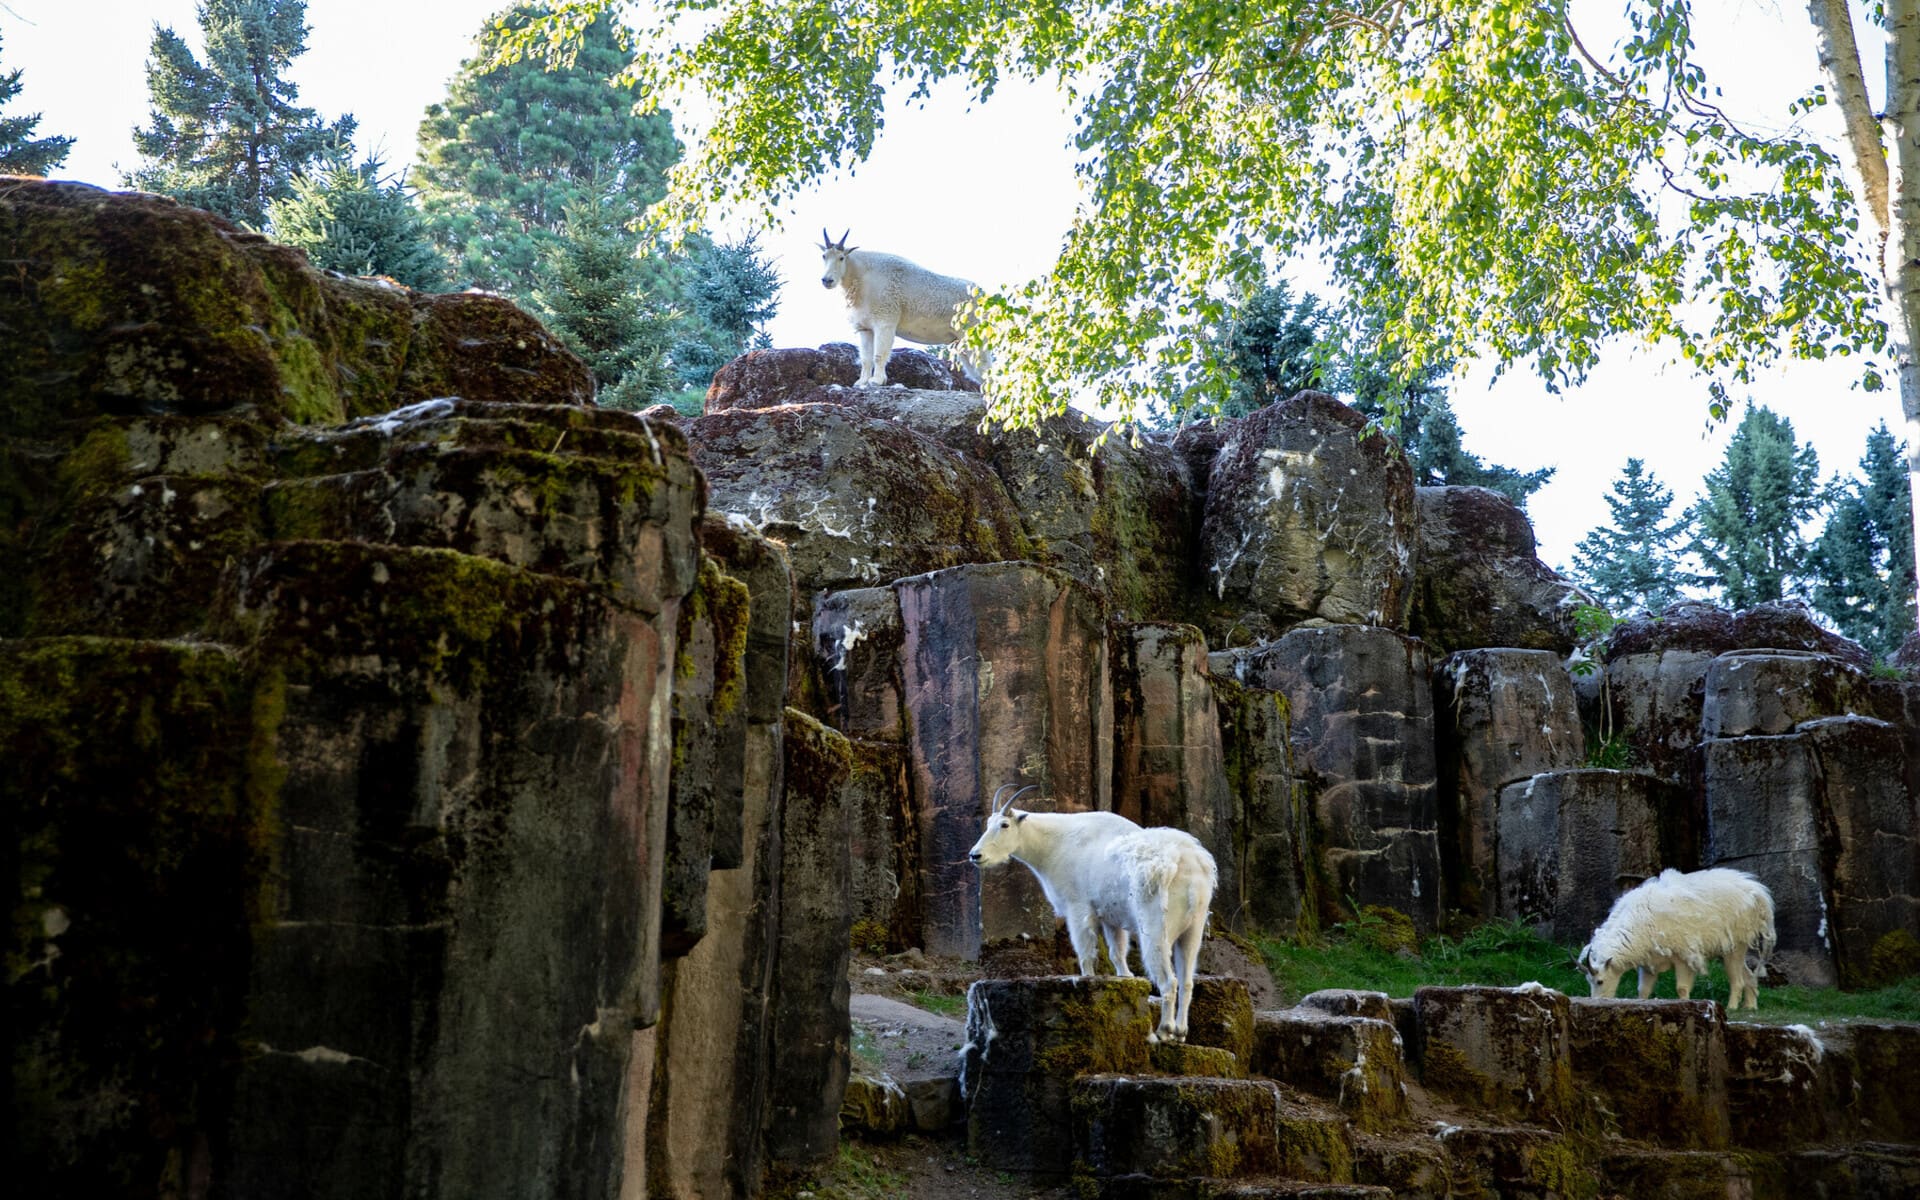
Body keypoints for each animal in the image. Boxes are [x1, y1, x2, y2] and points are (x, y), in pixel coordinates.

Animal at [817, 226, 983, 385]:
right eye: (824, 256)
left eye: (841, 257)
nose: (827, 280)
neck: (861, 275)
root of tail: (982, 295)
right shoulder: (865, 328)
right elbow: (865, 358)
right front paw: (861, 382)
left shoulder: (885, 321)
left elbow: (879, 354)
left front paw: (877, 381)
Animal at [967, 783, 1221, 1044]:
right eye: (988, 823)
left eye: (1004, 825)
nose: (976, 855)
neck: (1055, 844)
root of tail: (1189, 866)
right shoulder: (1111, 918)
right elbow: (1117, 953)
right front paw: (1125, 978)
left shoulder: (1077, 907)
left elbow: (1085, 953)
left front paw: (1088, 982)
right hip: (1194, 927)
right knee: (1188, 981)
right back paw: (1181, 1033)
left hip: (1156, 925)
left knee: (1169, 980)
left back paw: (1165, 1030)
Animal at [1566, 864, 1774, 1006]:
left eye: (1599, 981)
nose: (1597, 1001)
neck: (1639, 920)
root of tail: (1758, 892)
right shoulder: (1648, 963)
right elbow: (1643, 990)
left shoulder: (1684, 956)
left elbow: (1681, 988)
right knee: (1748, 974)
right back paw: (1750, 1006)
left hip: (1736, 944)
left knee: (1737, 979)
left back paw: (1732, 1007)